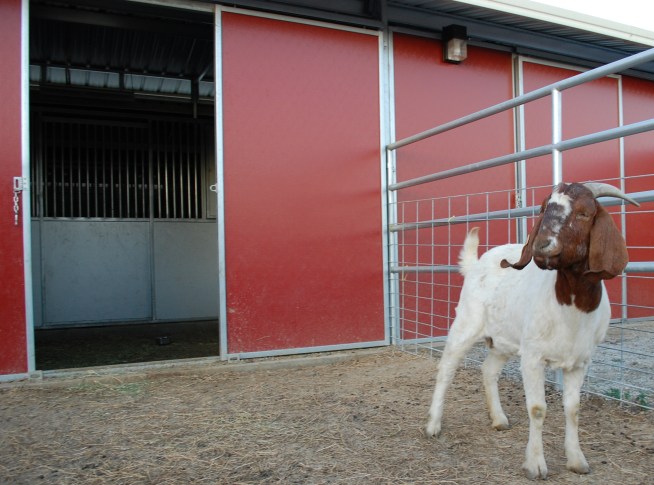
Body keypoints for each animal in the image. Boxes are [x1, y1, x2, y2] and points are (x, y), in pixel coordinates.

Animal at [425, 182, 639, 480]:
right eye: (543, 209)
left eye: (584, 213)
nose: (541, 245)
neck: (570, 305)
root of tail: (476, 264)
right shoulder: (532, 357)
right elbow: (538, 409)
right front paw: (536, 465)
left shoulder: (580, 362)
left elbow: (573, 409)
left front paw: (577, 460)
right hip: (466, 323)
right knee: (446, 369)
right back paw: (433, 425)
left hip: (503, 339)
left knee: (488, 370)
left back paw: (499, 419)